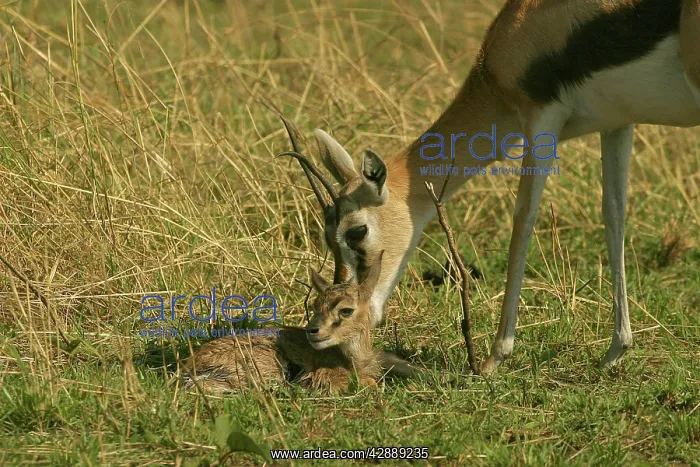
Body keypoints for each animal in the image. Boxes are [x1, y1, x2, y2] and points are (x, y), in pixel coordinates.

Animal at [279, 0, 700, 374]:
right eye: (326, 237)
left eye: (356, 231)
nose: (349, 305)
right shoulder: (617, 123)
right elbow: (614, 215)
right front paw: (616, 350)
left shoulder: (540, 121)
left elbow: (523, 221)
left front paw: (494, 358)